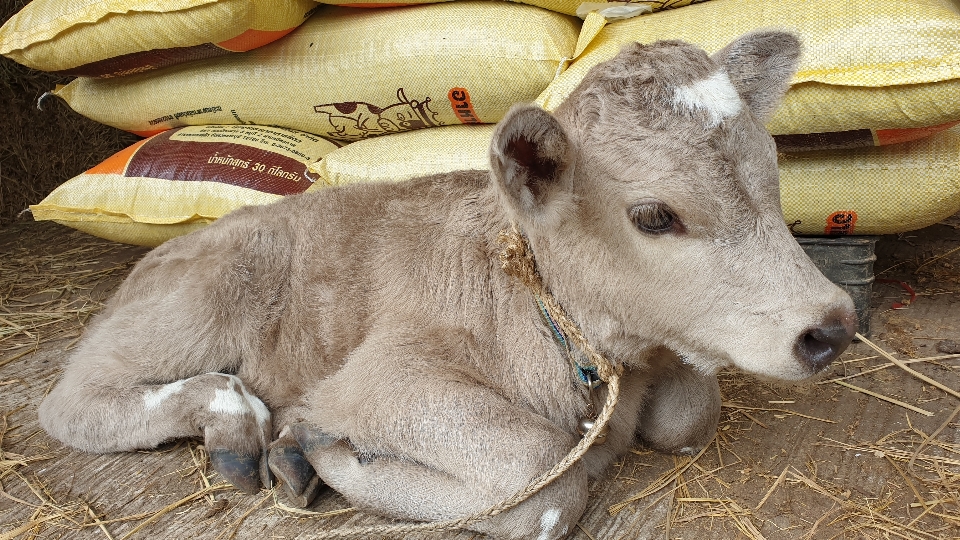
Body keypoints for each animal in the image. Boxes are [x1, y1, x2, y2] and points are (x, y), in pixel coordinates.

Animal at [37, 30, 856, 540]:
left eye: (772, 174)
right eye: (654, 216)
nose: (831, 327)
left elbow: (689, 417)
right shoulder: (379, 380)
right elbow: (539, 481)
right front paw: (319, 450)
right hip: (195, 302)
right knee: (76, 401)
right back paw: (237, 429)